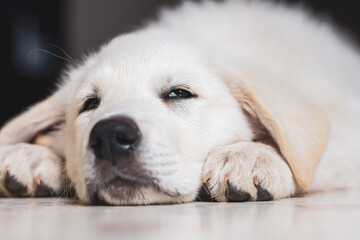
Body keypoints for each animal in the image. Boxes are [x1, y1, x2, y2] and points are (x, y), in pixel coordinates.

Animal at [0, 0, 360, 205]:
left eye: (179, 93)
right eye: (90, 104)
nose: (111, 136)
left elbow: (320, 156)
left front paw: (251, 155)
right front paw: (33, 155)